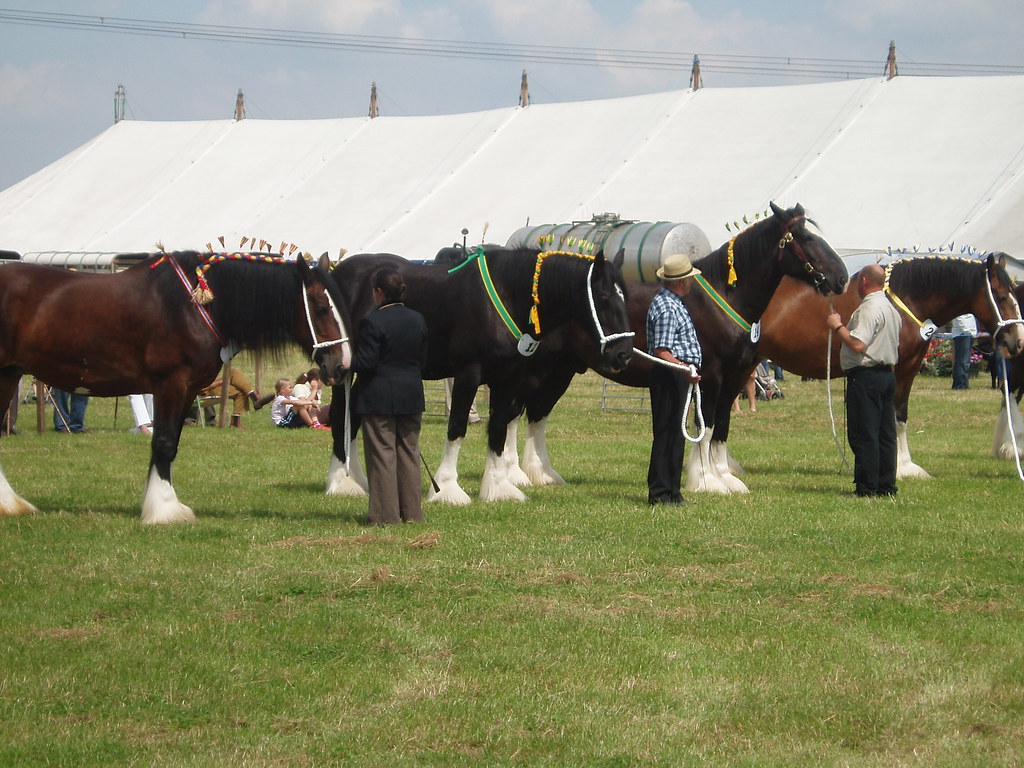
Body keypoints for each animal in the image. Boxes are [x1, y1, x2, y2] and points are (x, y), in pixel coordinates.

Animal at [0, 251, 352, 524]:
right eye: (321, 307)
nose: (342, 366)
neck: (194, 307)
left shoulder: (187, 390)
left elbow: (169, 444)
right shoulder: (171, 384)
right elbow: (165, 443)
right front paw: (164, 509)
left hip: (9, 375)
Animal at [324, 247, 635, 503]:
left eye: (626, 297)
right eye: (603, 297)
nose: (623, 354)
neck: (509, 296)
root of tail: (337, 272)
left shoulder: (508, 379)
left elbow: (498, 429)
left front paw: (498, 487)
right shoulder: (468, 375)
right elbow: (457, 427)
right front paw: (447, 489)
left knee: (353, 417)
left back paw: (356, 479)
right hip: (344, 368)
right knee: (341, 416)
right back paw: (342, 482)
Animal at [504, 202, 849, 494]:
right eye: (805, 237)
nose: (842, 278)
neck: (723, 299)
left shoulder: (735, 379)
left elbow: (721, 426)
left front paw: (725, 478)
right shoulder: (710, 377)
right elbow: (706, 425)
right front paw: (707, 481)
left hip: (563, 370)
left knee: (537, 416)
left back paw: (543, 474)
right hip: (539, 369)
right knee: (516, 414)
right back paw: (514, 476)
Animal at [756, 253, 1024, 478]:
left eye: (1015, 295)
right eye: (1001, 297)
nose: (1018, 341)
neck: (904, 299)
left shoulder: (909, 367)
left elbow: (900, 415)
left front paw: (906, 466)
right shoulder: (892, 367)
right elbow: (888, 416)